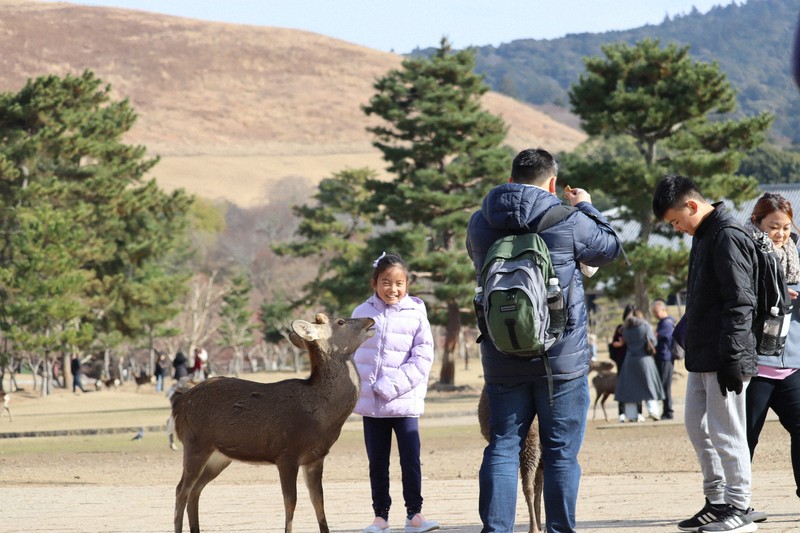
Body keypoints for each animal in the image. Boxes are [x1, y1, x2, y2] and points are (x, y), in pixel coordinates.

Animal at [170, 312, 376, 532]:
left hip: (218, 456)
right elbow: (290, 501)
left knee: (195, 490)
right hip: (195, 444)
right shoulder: (286, 454)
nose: (370, 319)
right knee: (181, 489)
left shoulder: (315, 457)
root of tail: (179, 404)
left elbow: (318, 500)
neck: (321, 417)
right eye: (340, 322)